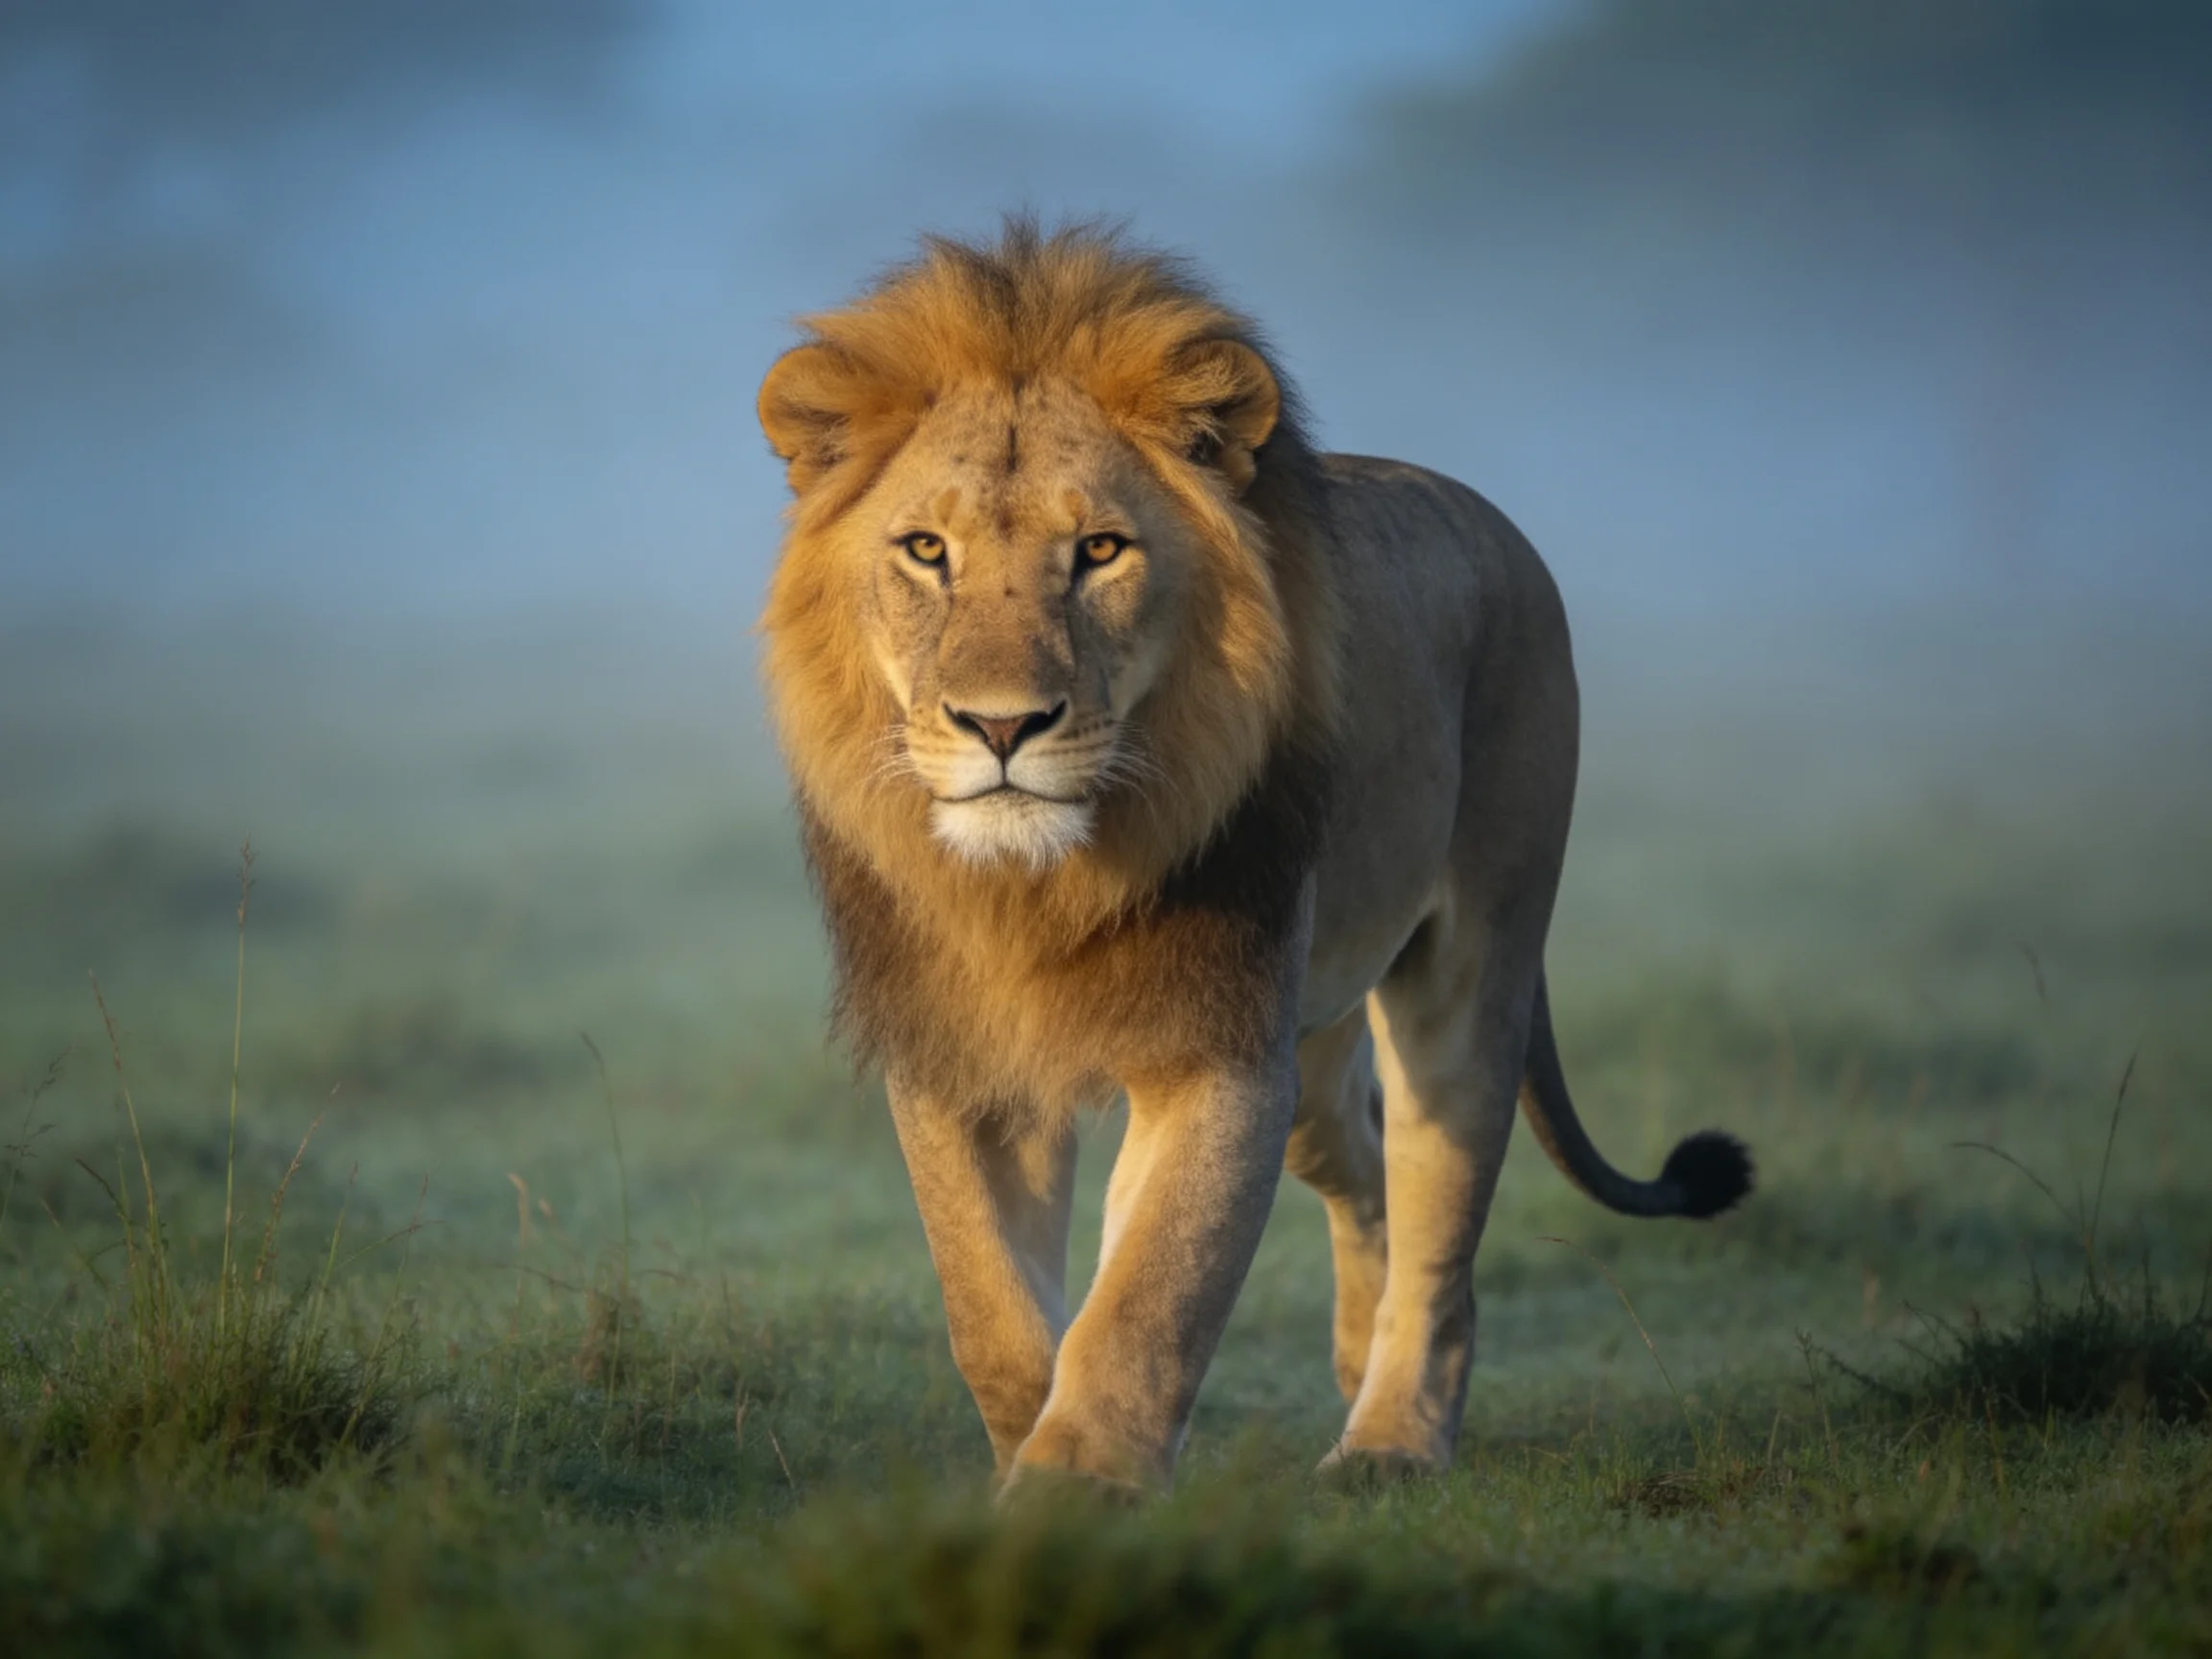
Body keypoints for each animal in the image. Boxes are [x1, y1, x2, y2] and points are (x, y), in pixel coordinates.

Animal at [756, 219, 1751, 1493]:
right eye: (927, 549)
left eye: (1101, 550)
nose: (1000, 726)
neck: (1041, 884)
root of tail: (1488, 516)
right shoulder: (958, 1053)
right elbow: (992, 1307)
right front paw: (1034, 1453)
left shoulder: (1217, 1046)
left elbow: (1150, 1288)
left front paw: (1079, 1487)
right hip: (1315, 1044)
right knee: (1358, 1153)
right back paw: (1357, 1361)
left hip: (1474, 962)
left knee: (1440, 1214)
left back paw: (1392, 1438)